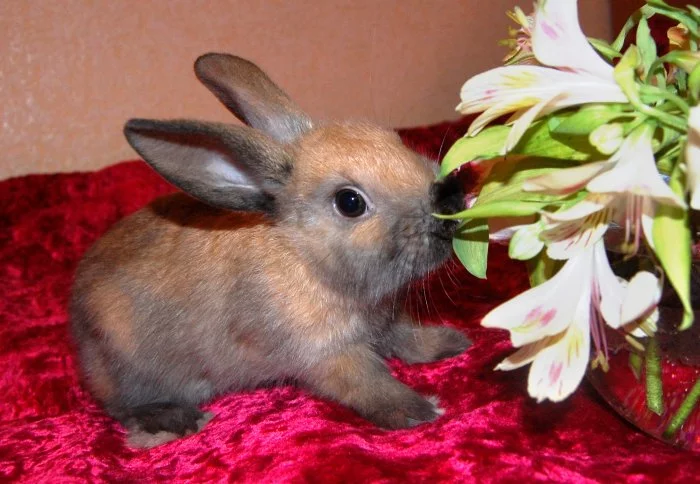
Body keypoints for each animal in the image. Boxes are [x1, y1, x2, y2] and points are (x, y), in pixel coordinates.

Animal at [70, 53, 470, 448]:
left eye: (396, 139)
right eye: (350, 202)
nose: (451, 206)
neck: (303, 254)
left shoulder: (390, 321)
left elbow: (410, 340)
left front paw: (452, 342)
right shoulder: (328, 355)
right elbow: (370, 385)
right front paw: (419, 411)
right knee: (124, 406)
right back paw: (174, 421)